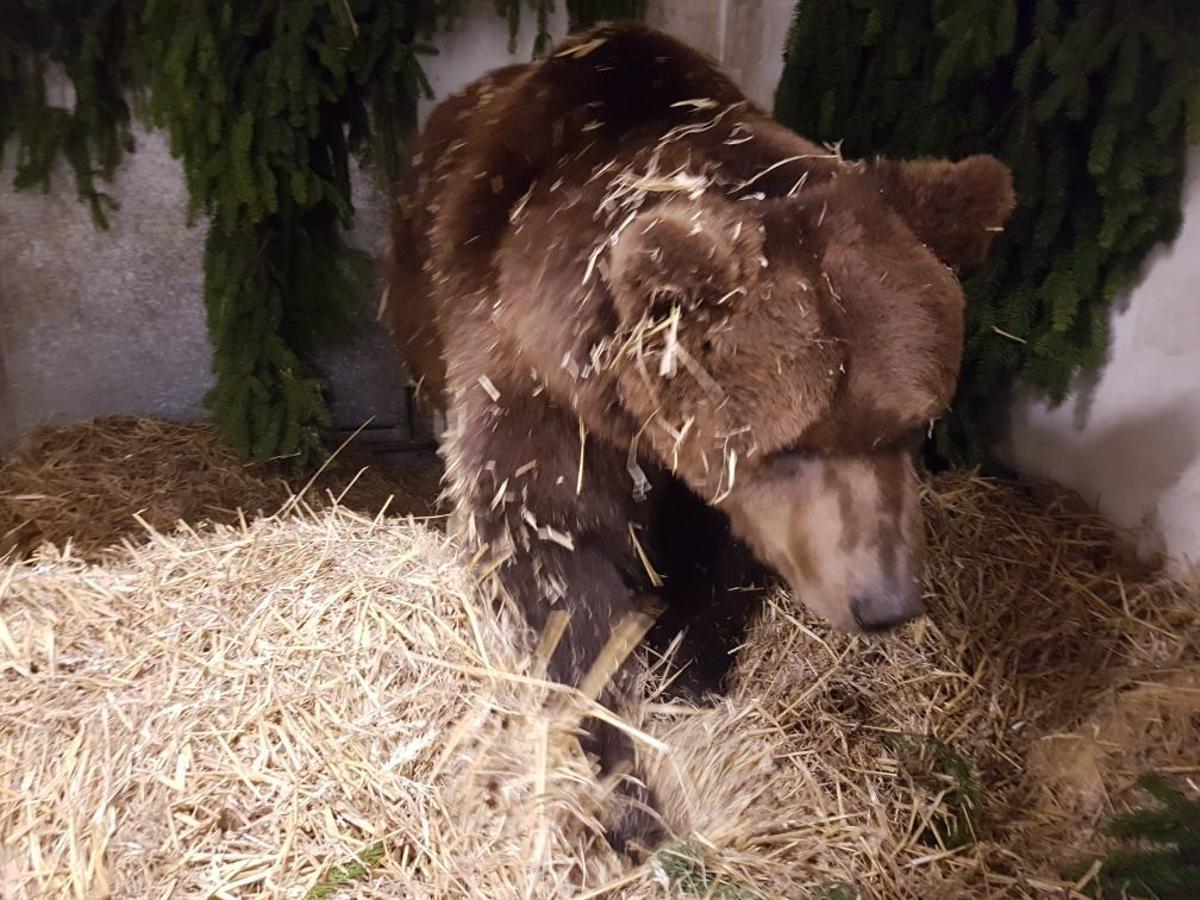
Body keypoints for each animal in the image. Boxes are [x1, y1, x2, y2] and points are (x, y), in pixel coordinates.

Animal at [386, 22, 1014, 853]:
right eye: (792, 445)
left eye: (912, 424)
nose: (885, 602)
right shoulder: (529, 378)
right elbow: (552, 560)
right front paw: (627, 793)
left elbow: (720, 559)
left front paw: (690, 669)